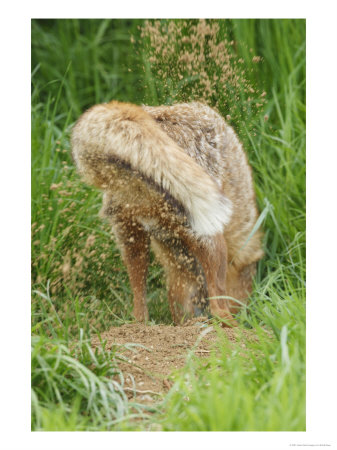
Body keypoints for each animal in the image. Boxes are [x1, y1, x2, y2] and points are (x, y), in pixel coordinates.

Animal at [71, 100, 262, 326]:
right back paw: (233, 327)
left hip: (131, 237)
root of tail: (155, 116)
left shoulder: (178, 270)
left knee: (139, 307)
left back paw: (141, 327)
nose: (245, 311)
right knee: (217, 304)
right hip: (205, 233)